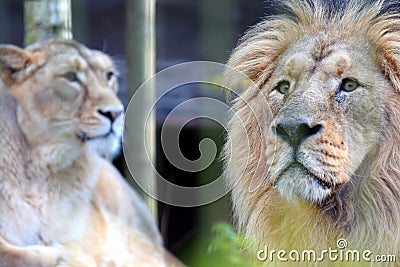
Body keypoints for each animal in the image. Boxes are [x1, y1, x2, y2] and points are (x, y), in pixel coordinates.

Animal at [0, 39, 177, 267]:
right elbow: (14, 254)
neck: (42, 168)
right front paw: (68, 257)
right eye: (70, 76)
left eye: (108, 75)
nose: (115, 113)